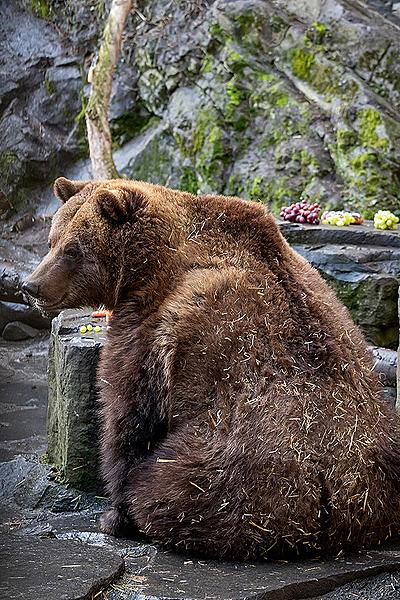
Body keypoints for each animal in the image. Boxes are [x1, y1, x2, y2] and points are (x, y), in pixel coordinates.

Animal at [24, 176, 400, 560]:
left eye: (73, 249)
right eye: (52, 240)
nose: (31, 285)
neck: (150, 261)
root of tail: (335, 516)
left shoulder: (153, 324)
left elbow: (129, 410)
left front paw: (113, 514)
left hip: (235, 470)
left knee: (172, 487)